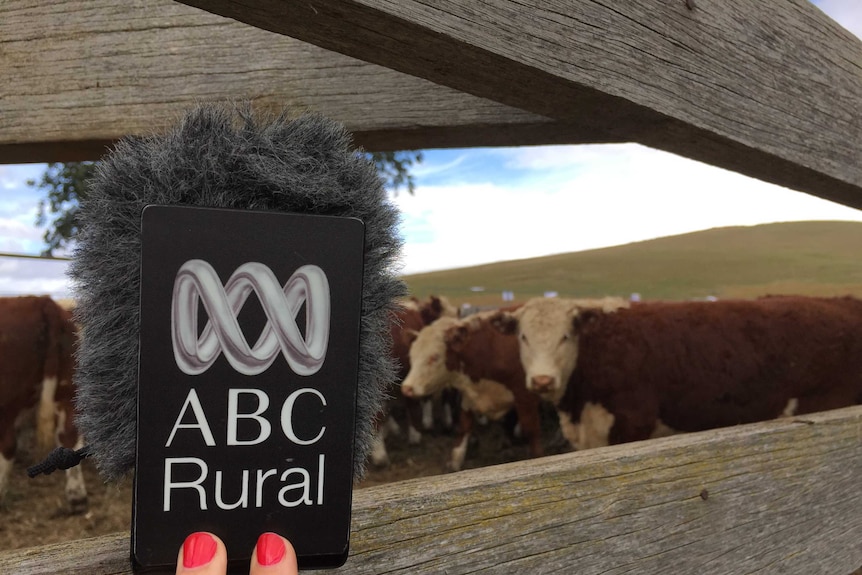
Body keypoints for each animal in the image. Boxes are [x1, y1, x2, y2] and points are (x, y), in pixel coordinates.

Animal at [0, 296, 87, 512]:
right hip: (67, 390)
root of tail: (42, 301)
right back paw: (77, 496)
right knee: (69, 436)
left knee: (8, 444)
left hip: (9, 399)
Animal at [402, 316, 544, 472]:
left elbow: (531, 430)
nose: (407, 387)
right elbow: (464, 426)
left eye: (434, 357)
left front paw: (537, 457)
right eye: (411, 356)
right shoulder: (469, 397)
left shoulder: (526, 397)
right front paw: (455, 460)